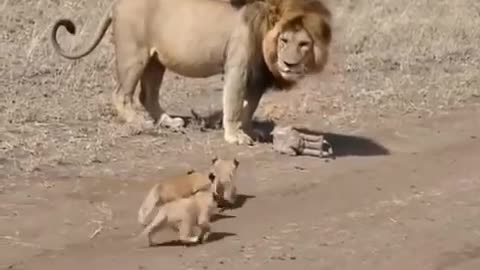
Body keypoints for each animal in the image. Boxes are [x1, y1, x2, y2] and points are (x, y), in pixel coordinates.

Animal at [50, 0, 332, 146]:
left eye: (303, 44)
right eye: (284, 40)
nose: (289, 64)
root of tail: (116, 4)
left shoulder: (257, 76)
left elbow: (249, 107)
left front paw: (250, 131)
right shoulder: (237, 66)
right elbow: (233, 104)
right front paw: (234, 136)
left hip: (156, 61)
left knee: (147, 95)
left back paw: (168, 121)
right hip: (134, 54)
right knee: (122, 94)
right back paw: (138, 122)